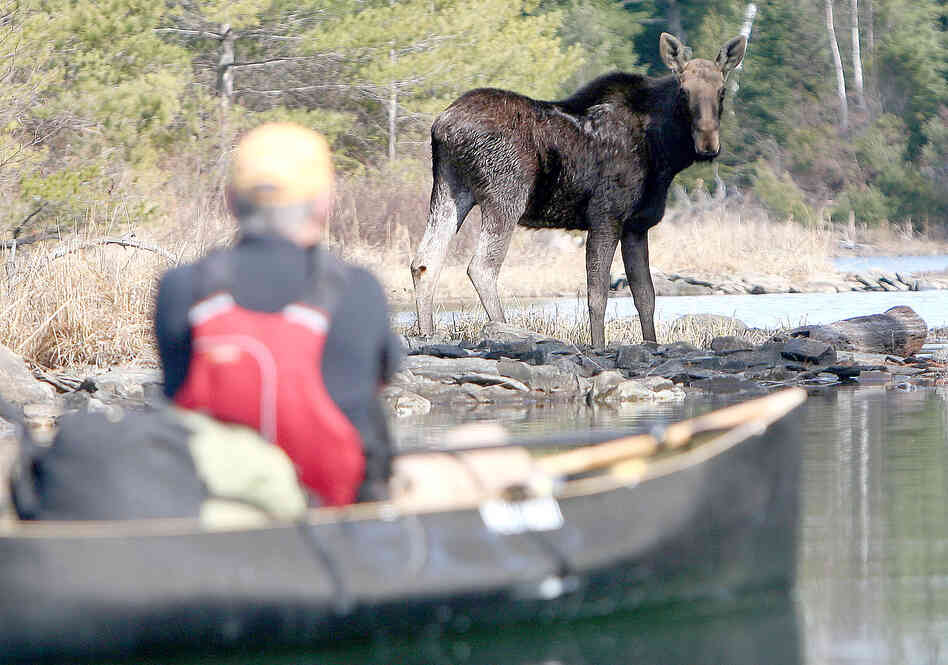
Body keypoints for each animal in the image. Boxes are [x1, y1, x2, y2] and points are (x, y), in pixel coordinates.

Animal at [410, 33, 746, 347]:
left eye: (722, 91)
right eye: (683, 91)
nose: (708, 145)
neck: (663, 152)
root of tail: (441, 125)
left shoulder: (636, 226)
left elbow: (645, 296)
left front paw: (650, 343)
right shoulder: (605, 216)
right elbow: (597, 295)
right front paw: (598, 346)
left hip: (451, 188)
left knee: (425, 261)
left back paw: (427, 334)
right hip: (506, 193)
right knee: (481, 266)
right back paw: (505, 330)